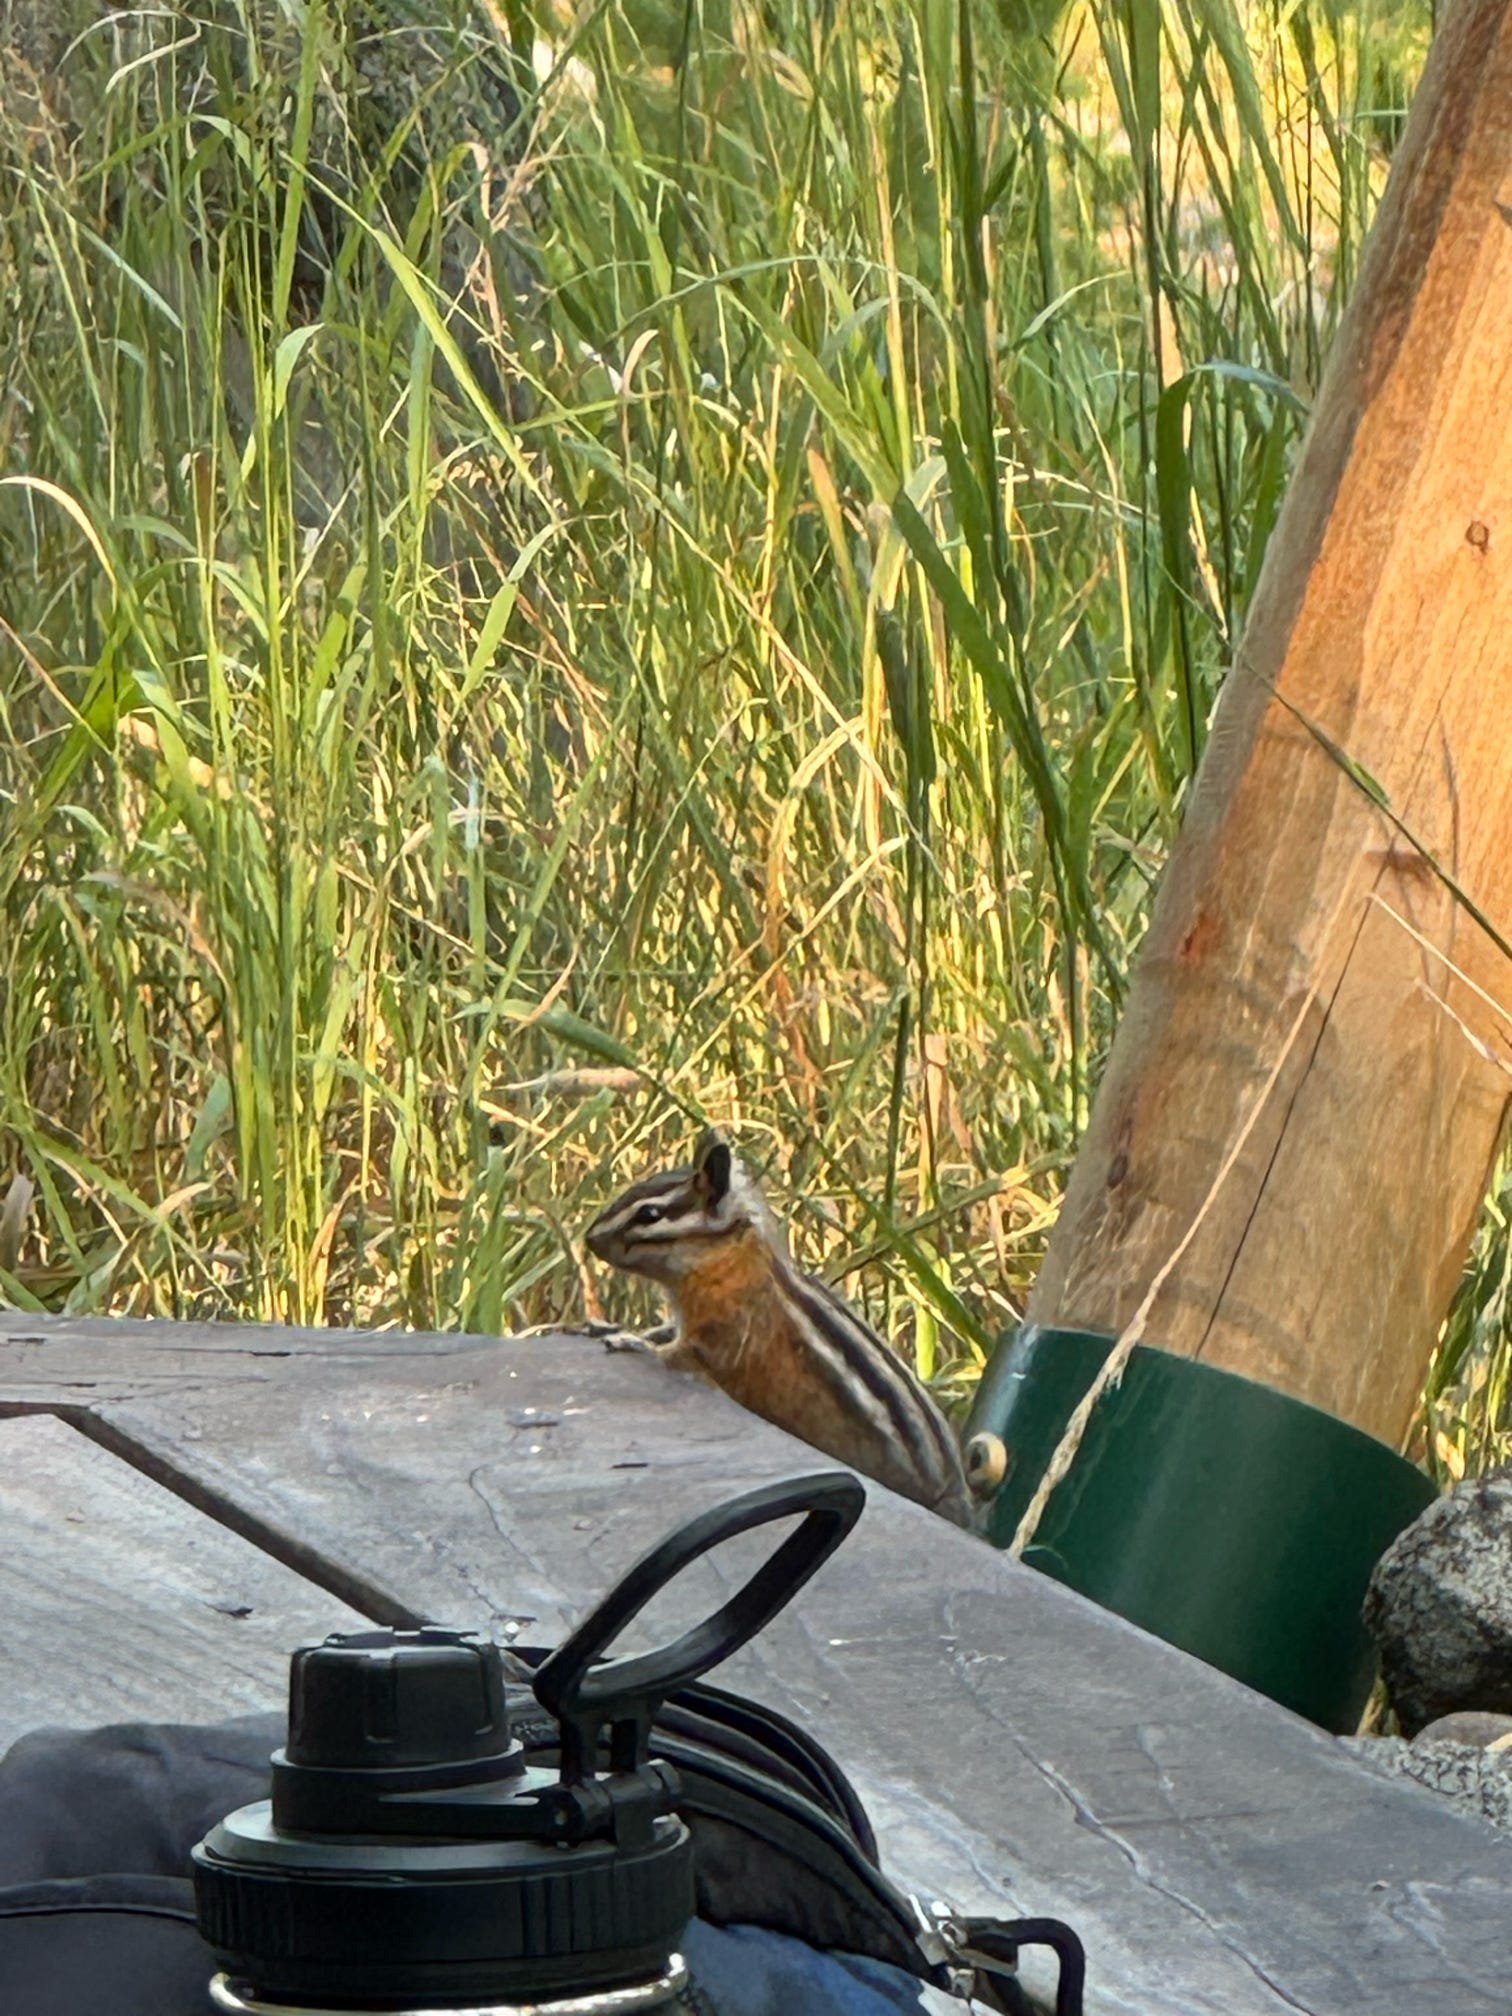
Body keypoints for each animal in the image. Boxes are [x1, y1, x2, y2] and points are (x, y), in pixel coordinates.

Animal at [584, 1131, 1004, 1530]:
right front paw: (616, 1327)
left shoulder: (722, 1331)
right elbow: (667, 1330)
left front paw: (631, 1342)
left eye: (649, 1213)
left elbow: (680, 1354)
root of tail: (960, 1496)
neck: (729, 1256)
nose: (589, 1239)